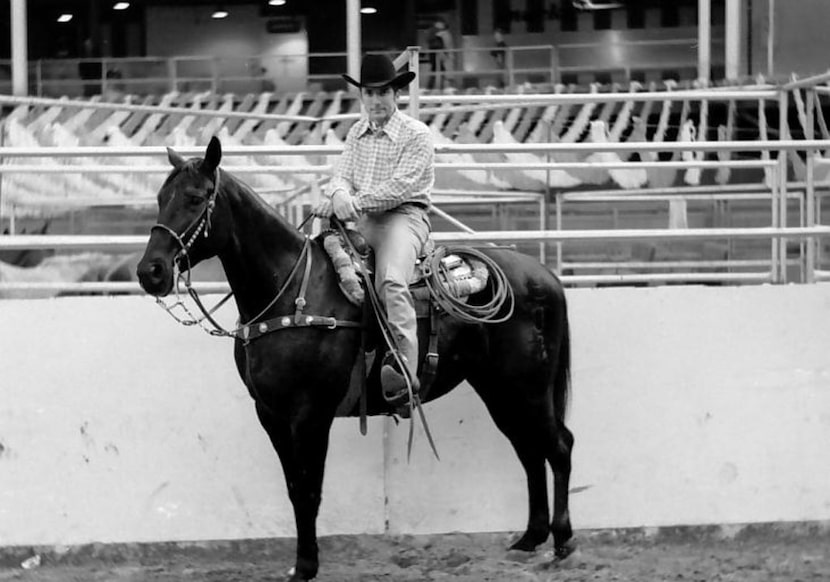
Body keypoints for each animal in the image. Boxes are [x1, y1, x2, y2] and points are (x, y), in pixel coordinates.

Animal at [138, 138, 580, 582]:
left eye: (196, 198)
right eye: (160, 199)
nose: (150, 272)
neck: (292, 293)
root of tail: (544, 275)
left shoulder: (310, 414)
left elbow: (309, 489)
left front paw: (306, 566)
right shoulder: (271, 414)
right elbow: (294, 488)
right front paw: (302, 563)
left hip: (527, 387)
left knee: (558, 445)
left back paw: (562, 541)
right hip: (500, 389)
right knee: (529, 449)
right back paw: (529, 539)